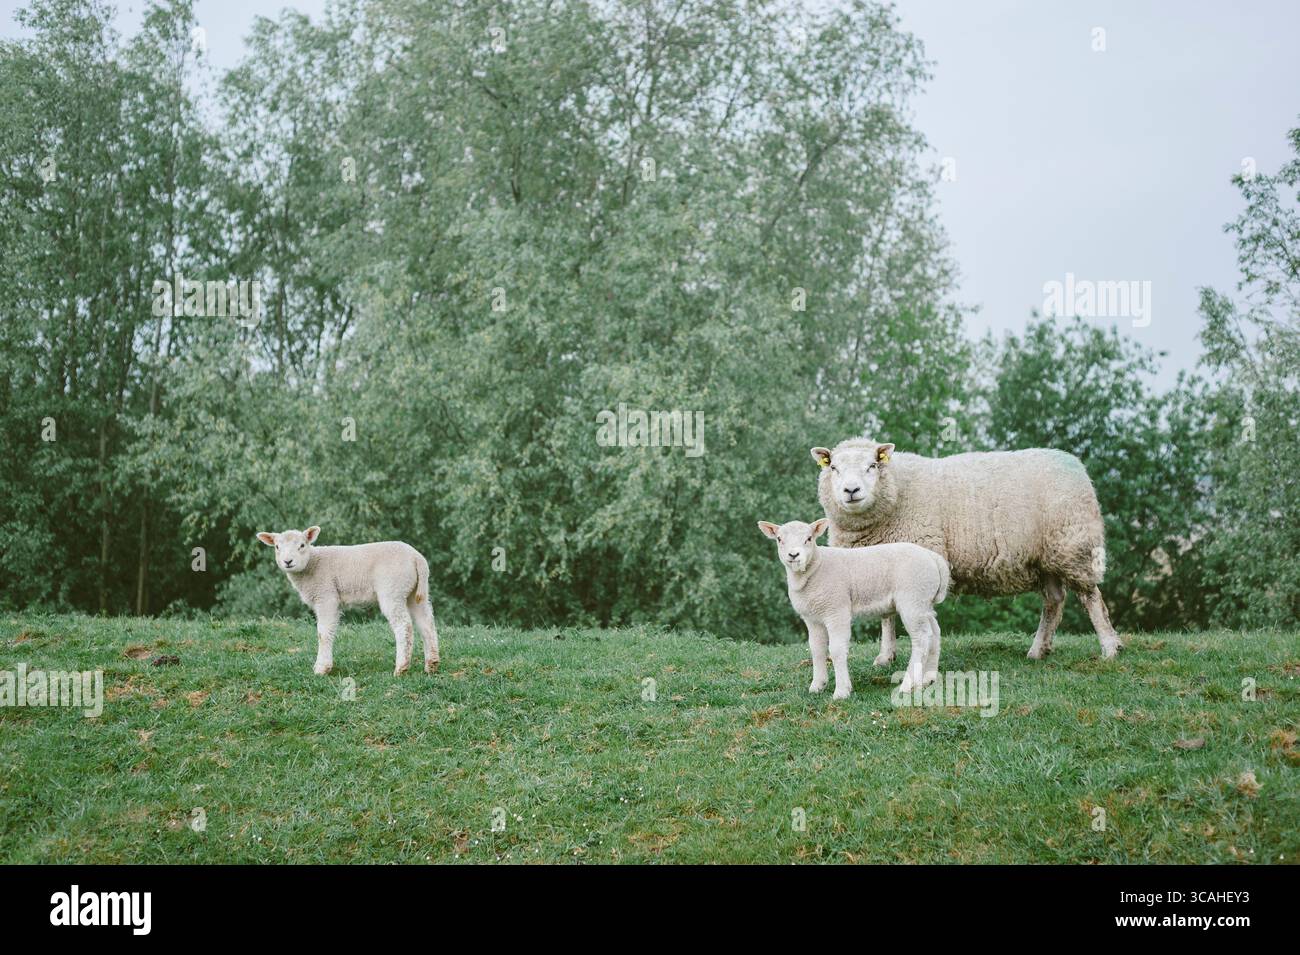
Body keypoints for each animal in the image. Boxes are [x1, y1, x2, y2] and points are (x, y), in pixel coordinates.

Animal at [255, 526, 439, 676]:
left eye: (302, 545)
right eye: (277, 547)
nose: (288, 561)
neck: (312, 565)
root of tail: (417, 558)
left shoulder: (326, 595)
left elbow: (323, 632)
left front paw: (322, 668)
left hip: (392, 589)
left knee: (404, 625)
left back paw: (401, 668)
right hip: (416, 592)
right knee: (426, 622)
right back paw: (431, 664)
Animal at [758, 518, 951, 699]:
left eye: (809, 538)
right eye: (779, 539)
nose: (793, 555)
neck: (816, 568)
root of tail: (934, 558)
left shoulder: (837, 610)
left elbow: (836, 649)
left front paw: (842, 691)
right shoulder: (812, 618)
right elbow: (816, 649)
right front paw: (817, 686)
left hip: (913, 599)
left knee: (921, 638)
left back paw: (908, 685)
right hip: (924, 602)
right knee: (934, 632)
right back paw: (928, 678)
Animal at [810, 437, 1122, 663]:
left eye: (873, 465)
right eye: (833, 468)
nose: (851, 491)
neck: (898, 494)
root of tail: (1075, 464)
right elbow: (887, 618)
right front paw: (885, 657)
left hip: (1073, 545)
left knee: (1091, 598)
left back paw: (1109, 648)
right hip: (1045, 558)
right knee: (1054, 601)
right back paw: (1038, 650)